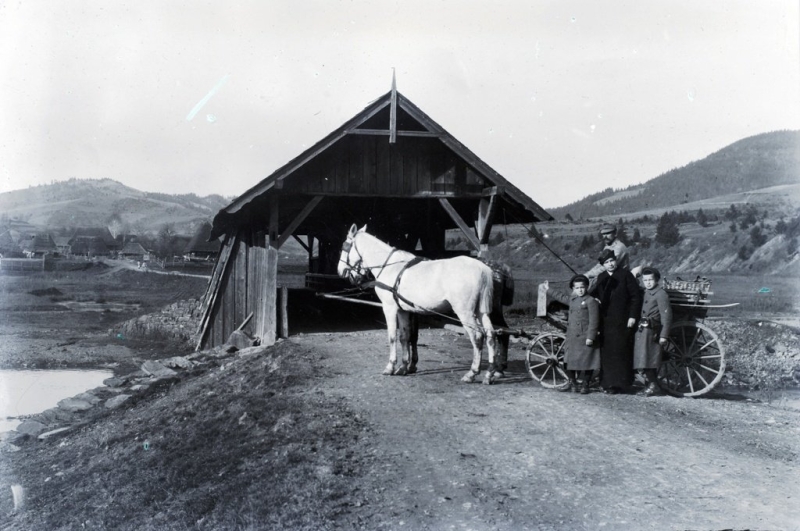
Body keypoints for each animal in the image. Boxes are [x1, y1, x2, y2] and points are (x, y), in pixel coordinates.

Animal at [332, 225, 496, 386]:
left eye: (344, 246)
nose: (340, 271)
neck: (389, 267)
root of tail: (483, 268)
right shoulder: (403, 310)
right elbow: (405, 337)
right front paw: (404, 367)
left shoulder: (390, 308)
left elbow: (392, 337)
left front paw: (390, 367)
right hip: (481, 311)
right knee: (490, 335)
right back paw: (490, 374)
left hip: (465, 312)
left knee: (477, 337)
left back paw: (472, 373)